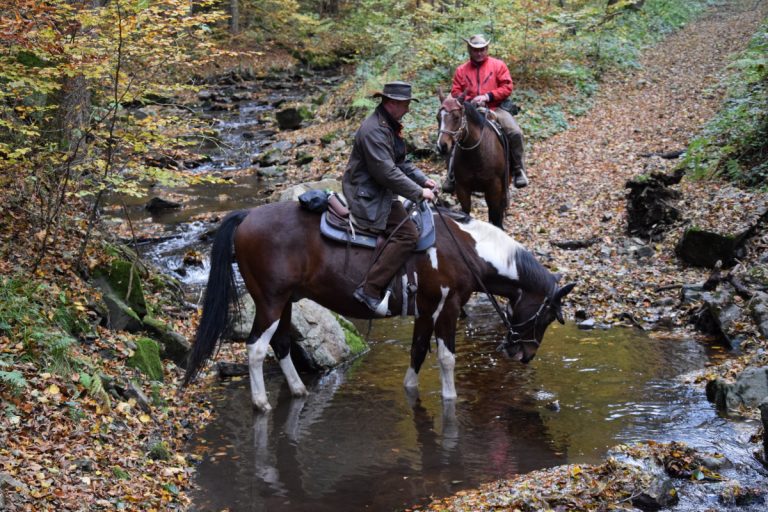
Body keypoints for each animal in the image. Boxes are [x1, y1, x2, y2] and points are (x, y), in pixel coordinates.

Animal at [182, 201, 576, 412]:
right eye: (546, 317)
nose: (522, 355)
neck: (465, 249)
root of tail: (247, 215)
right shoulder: (447, 308)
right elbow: (446, 358)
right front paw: (450, 399)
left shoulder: (426, 311)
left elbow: (418, 352)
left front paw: (411, 390)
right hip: (270, 302)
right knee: (255, 348)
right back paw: (261, 403)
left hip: (287, 303)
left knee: (280, 345)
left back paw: (298, 391)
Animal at [438, 92, 510, 228]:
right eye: (438, 117)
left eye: (456, 117)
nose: (442, 146)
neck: (476, 155)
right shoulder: (462, 188)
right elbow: (465, 211)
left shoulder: (495, 188)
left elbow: (496, 215)